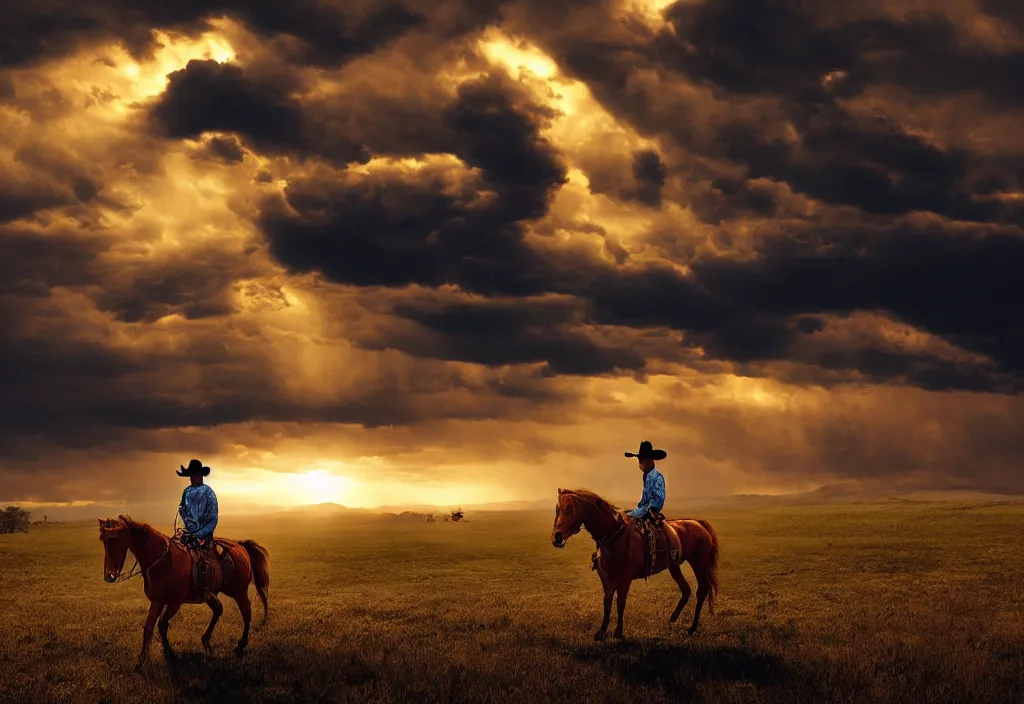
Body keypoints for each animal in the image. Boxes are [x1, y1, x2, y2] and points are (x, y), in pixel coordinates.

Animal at [96, 513, 268, 667]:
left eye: (115, 539)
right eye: (103, 540)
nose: (109, 575)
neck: (164, 561)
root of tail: (240, 545)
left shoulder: (174, 603)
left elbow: (162, 624)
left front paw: (170, 654)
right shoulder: (157, 601)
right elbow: (149, 627)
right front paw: (141, 660)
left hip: (238, 592)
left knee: (246, 612)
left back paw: (241, 644)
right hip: (210, 594)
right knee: (219, 609)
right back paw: (206, 642)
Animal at [552, 487, 720, 642]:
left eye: (570, 508)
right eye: (558, 508)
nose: (557, 537)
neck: (614, 536)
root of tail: (698, 523)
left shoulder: (625, 579)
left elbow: (620, 603)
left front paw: (618, 632)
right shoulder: (607, 579)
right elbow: (607, 602)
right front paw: (601, 632)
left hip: (698, 563)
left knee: (702, 590)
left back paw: (692, 628)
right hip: (674, 566)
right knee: (686, 590)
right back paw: (672, 620)